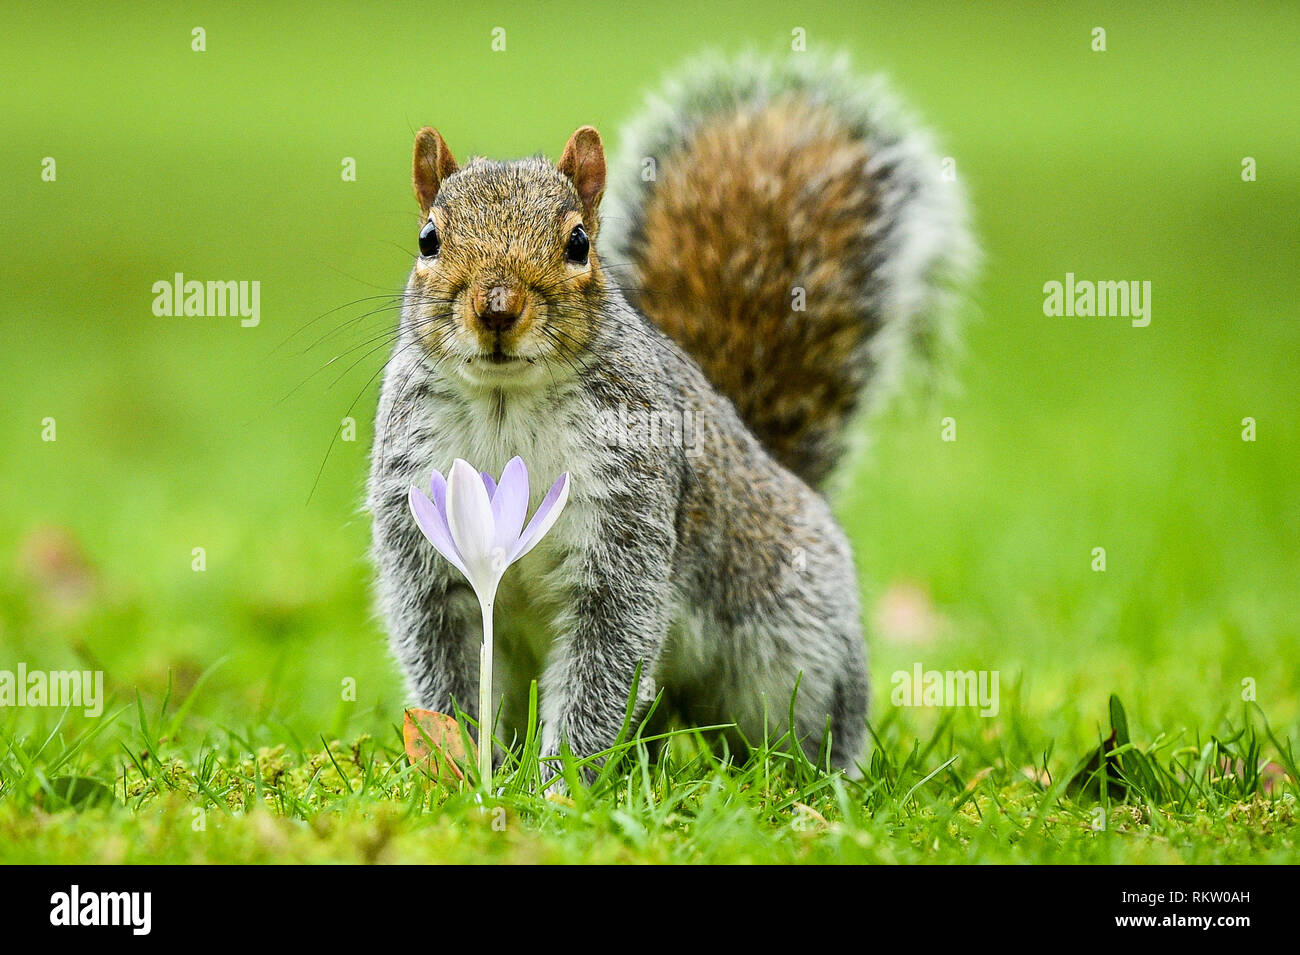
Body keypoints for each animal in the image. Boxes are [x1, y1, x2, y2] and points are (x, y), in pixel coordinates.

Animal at [366, 52, 977, 779]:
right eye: (428, 239)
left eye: (578, 243)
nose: (497, 307)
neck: (505, 403)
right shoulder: (423, 526)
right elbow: (447, 666)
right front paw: (461, 765)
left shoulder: (627, 520)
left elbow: (606, 659)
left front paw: (560, 783)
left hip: (798, 651)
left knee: (817, 724)